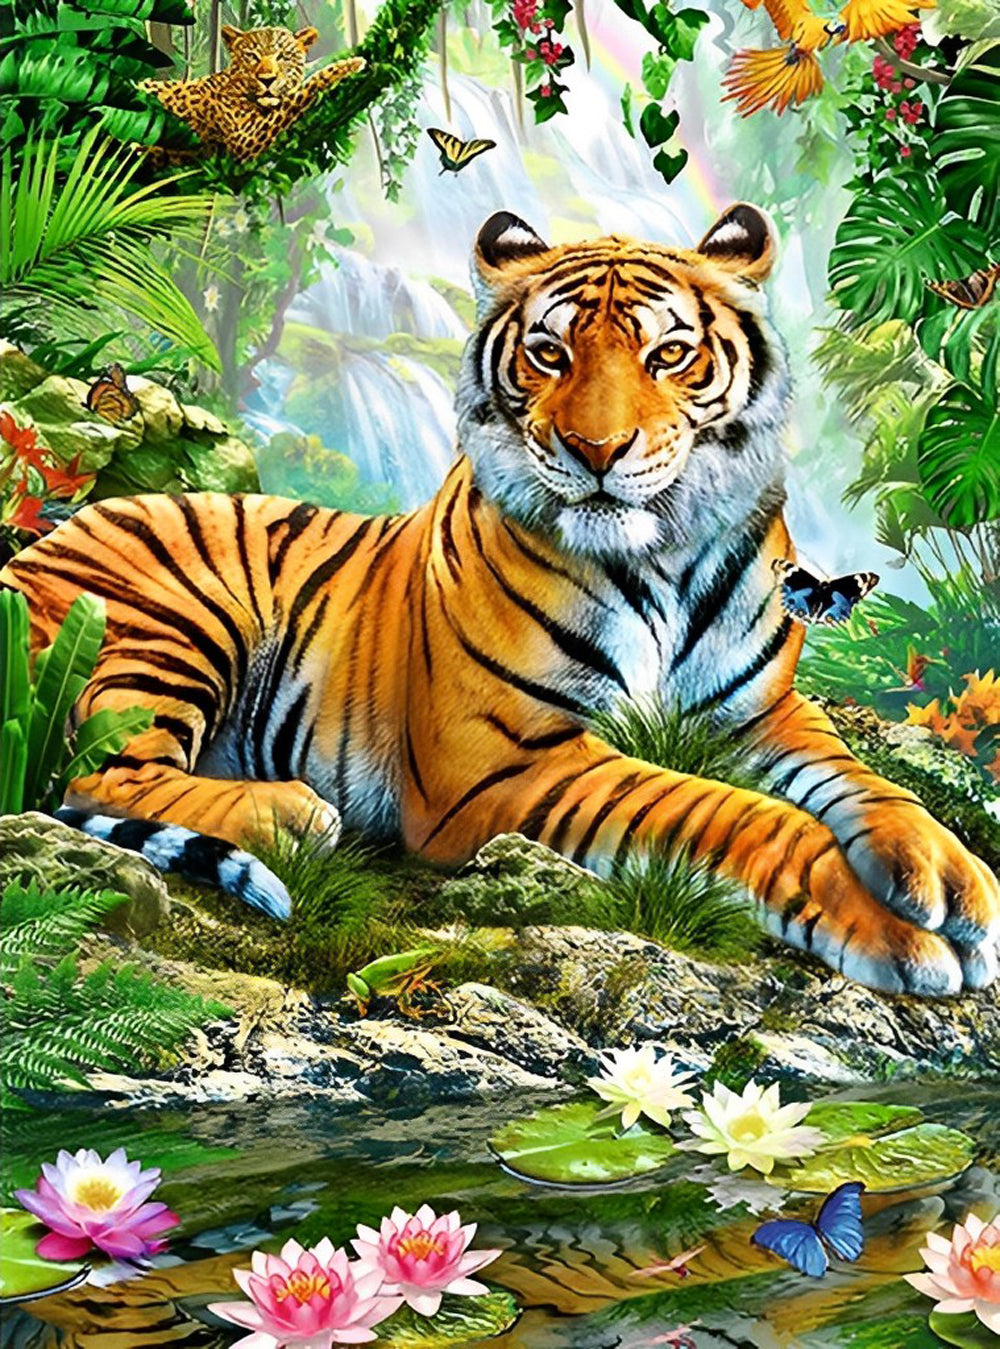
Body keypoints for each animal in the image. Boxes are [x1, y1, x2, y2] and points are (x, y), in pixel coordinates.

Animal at [3, 205, 998, 997]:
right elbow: (726, 812)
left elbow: (862, 782)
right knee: (99, 775)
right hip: (171, 622)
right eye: (549, 354)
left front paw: (949, 874)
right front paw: (892, 931)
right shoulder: (503, 760)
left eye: (669, 354)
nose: (597, 450)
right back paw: (290, 810)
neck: (665, 557)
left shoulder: (763, 715)